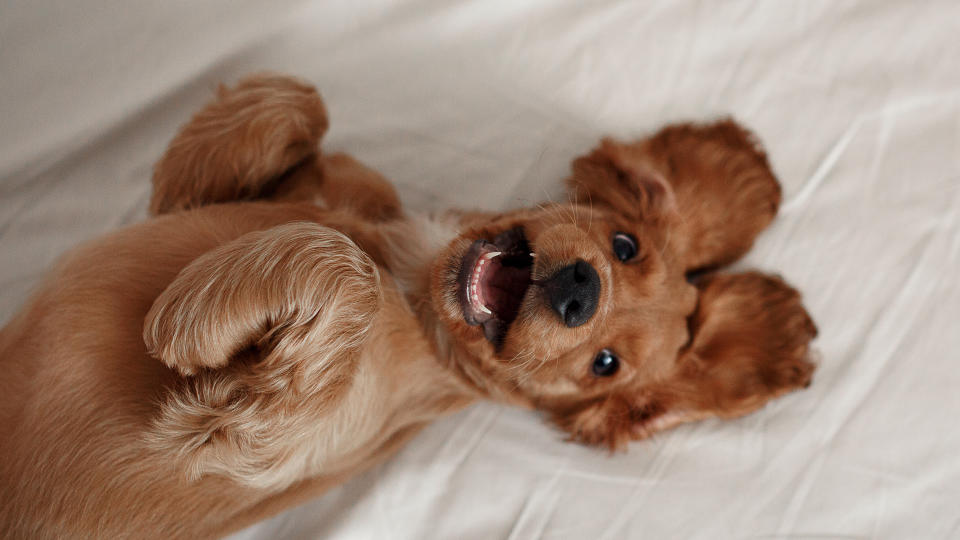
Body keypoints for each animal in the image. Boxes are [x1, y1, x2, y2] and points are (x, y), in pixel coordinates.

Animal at [0, 74, 816, 536]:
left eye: (605, 365)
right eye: (625, 245)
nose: (580, 291)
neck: (418, 278)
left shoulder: (242, 444)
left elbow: (344, 270)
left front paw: (193, 317)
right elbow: (297, 103)